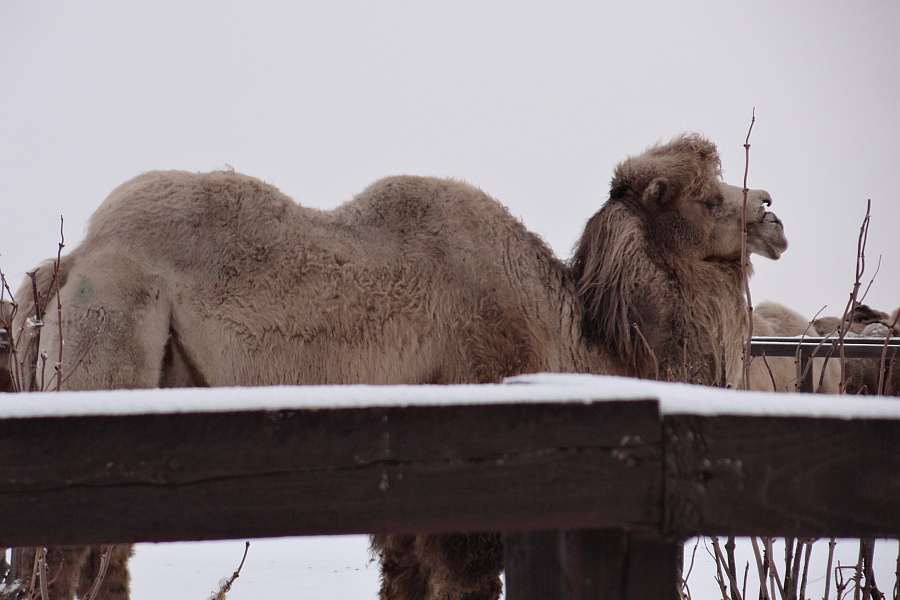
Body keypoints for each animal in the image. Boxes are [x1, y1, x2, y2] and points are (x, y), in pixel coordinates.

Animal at [6, 134, 786, 600]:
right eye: (709, 198)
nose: (773, 213)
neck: (574, 335)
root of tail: (67, 264)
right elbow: (464, 576)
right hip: (111, 336)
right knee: (69, 552)